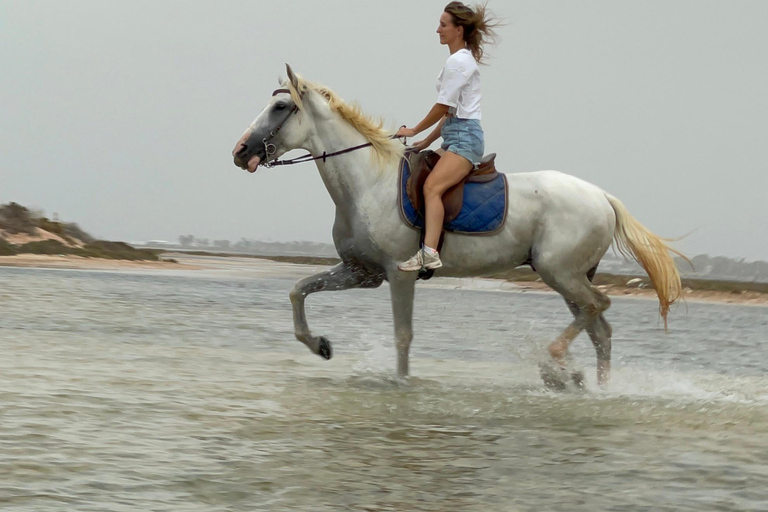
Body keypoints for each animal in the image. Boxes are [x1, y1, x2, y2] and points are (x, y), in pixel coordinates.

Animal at [232, 65, 685, 388]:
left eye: (279, 108)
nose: (240, 151)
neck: (366, 182)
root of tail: (603, 197)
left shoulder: (399, 274)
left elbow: (403, 336)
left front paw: (402, 384)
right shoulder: (361, 272)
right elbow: (298, 290)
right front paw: (321, 346)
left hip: (561, 273)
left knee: (598, 308)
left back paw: (556, 366)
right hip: (570, 276)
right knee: (600, 329)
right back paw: (593, 389)